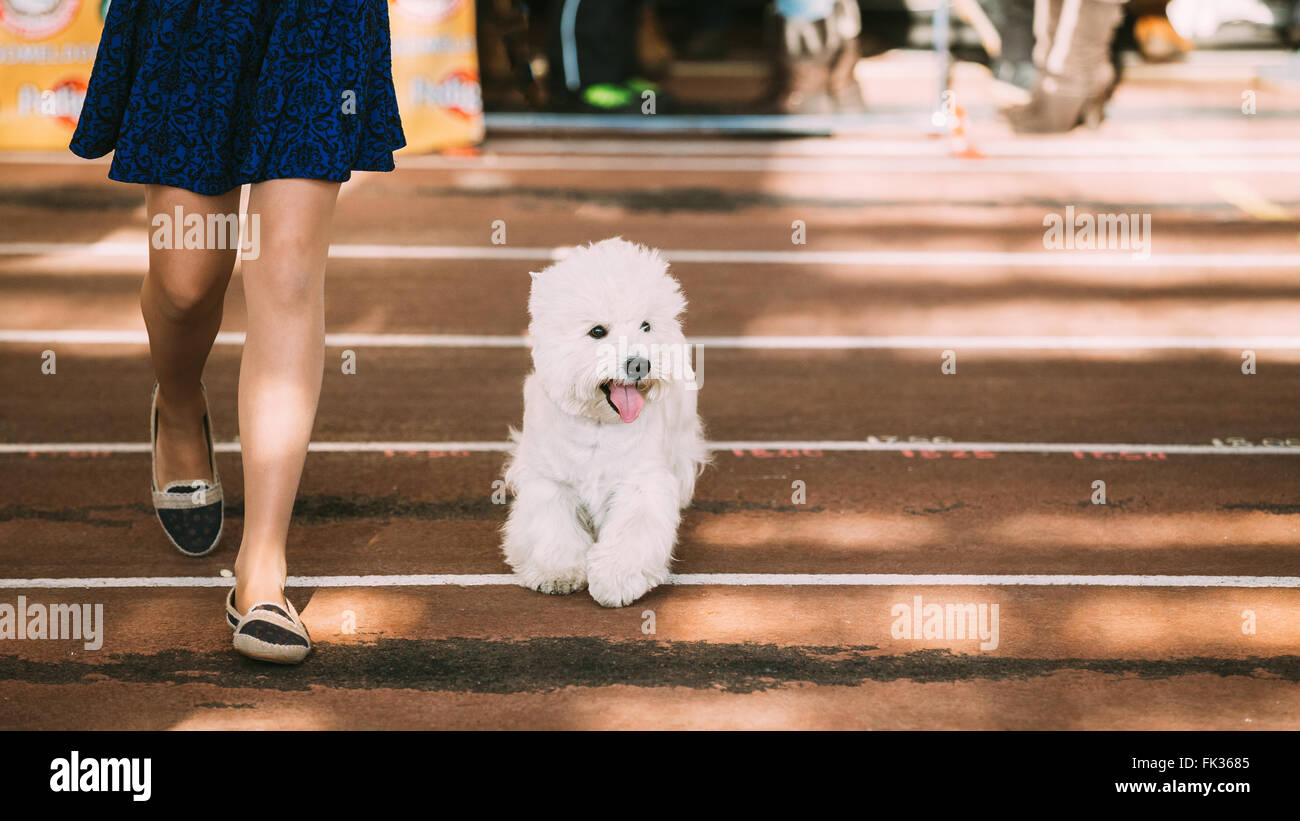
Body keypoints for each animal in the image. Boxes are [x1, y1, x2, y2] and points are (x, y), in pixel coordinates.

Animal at [499, 233, 707, 605]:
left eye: (645, 325)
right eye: (597, 331)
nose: (639, 363)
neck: (598, 427)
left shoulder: (641, 482)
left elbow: (632, 531)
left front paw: (617, 579)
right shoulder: (550, 483)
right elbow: (552, 528)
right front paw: (557, 573)